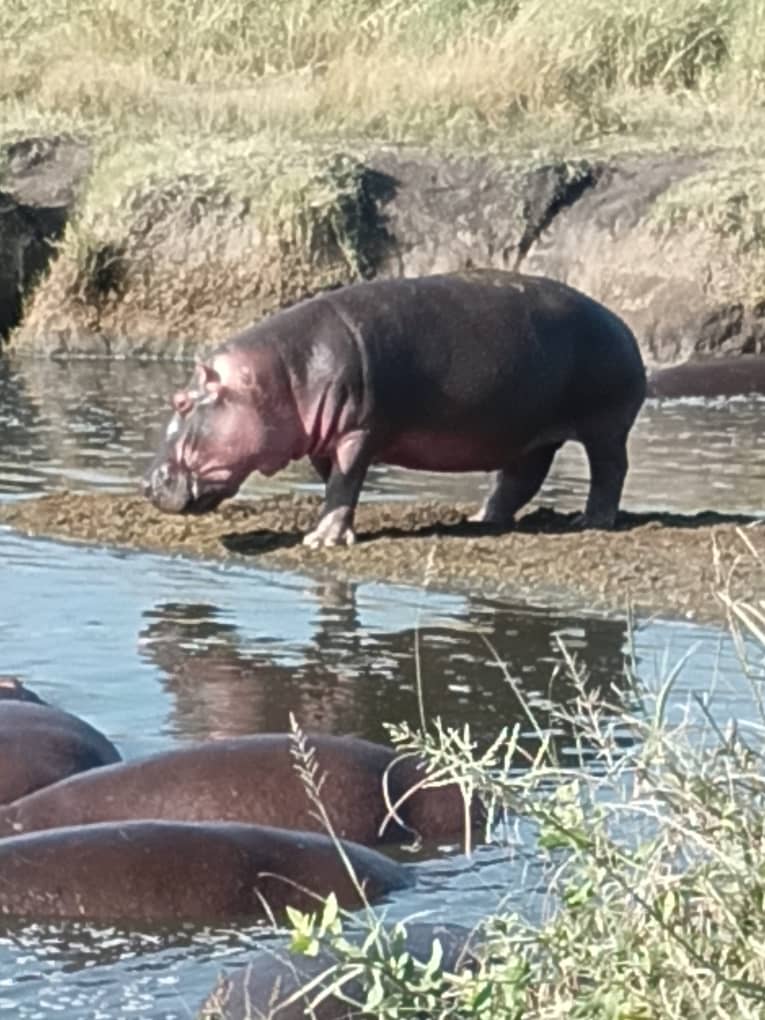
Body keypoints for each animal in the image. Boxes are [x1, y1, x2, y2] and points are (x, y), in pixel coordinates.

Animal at [144, 271, 646, 547]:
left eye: (181, 402)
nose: (147, 484)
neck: (280, 375)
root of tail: (622, 324)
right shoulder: (323, 441)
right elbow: (336, 485)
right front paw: (330, 527)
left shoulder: (359, 431)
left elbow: (346, 482)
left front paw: (321, 541)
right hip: (528, 434)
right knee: (520, 479)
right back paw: (480, 519)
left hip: (605, 424)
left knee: (610, 470)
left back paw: (592, 521)